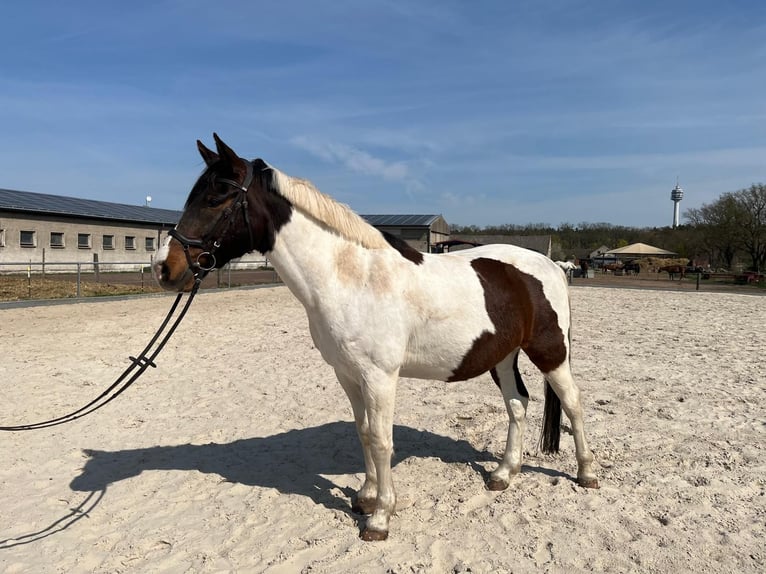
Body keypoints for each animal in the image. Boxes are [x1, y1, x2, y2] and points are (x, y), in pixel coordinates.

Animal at [153, 135, 598, 541]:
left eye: (217, 198)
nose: (164, 268)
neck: (350, 278)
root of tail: (551, 266)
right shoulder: (348, 374)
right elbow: (364, 432)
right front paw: (365, 498)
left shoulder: (380, 376)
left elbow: (383, 440)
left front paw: (380, 518)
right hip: (503, 356)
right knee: (517, 404)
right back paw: (504, 474)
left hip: (550, 350)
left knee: (573, 403)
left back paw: (586, 473)